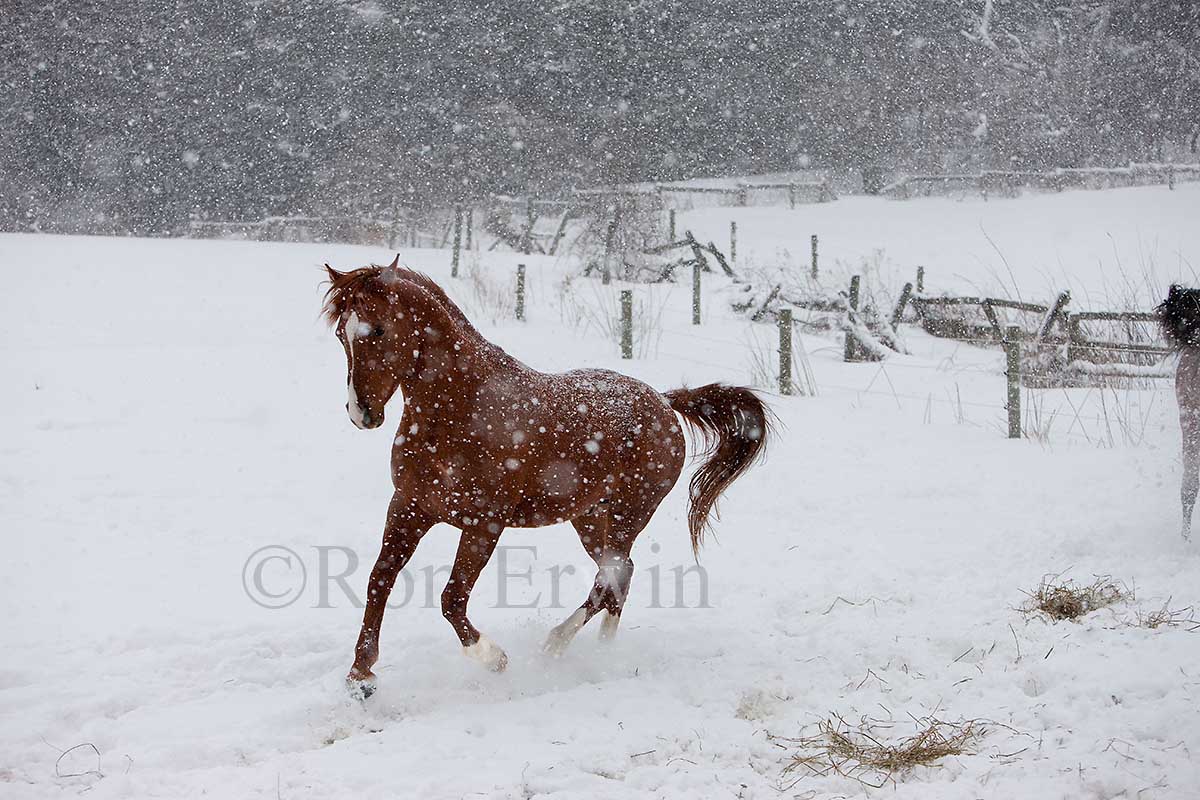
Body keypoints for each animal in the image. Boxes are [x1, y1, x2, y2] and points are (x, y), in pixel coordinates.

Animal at [321, 256, 768, 695]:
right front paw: (361, 675)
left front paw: (494, 659)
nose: (361, 413)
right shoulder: (409, 506)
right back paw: (600, 651)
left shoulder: (484, 524)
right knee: (619, 578)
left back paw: (563, 647)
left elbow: (452, 598)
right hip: (590, 518)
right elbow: (379, 580)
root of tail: (663, 400)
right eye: (342, 335)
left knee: (613, 577)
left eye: (378, 329)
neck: (463, 408)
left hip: (629, 514)